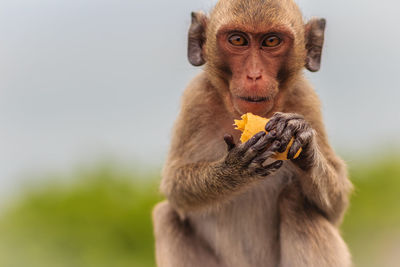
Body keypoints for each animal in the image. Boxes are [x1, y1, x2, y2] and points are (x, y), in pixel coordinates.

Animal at [153, 0, 354, 267]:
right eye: (238, 40)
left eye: (271, 41)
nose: (254, 75)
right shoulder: (196, 99)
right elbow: (175, 187)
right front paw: (233, 170)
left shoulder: (305, 99)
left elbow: (336, 207)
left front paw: (303, 141)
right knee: (167, 215)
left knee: (297, 202)